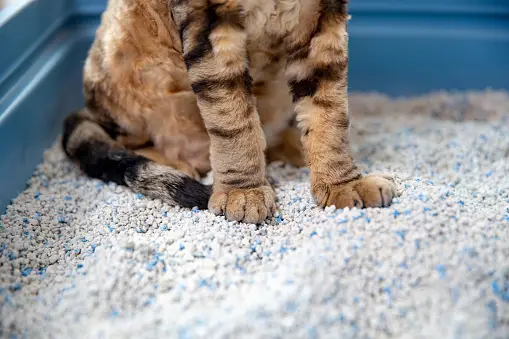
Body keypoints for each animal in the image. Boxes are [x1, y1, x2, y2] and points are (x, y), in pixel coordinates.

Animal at [62, 0, 396, 224]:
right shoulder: (209, 24)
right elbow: (231, 118)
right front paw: (243, 192)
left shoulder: (321, 20)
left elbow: (329, 113)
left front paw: (343, 184)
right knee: (135, 141)